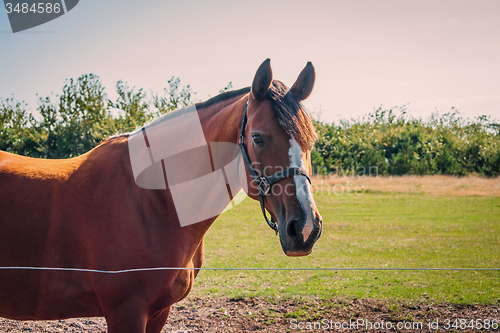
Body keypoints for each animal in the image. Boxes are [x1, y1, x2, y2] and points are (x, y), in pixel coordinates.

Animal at [0, 60, 322, 332]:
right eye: (257, 137)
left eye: (312, 140)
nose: (305, 227)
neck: (153, 200)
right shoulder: (126, 312)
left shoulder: (158, 312)